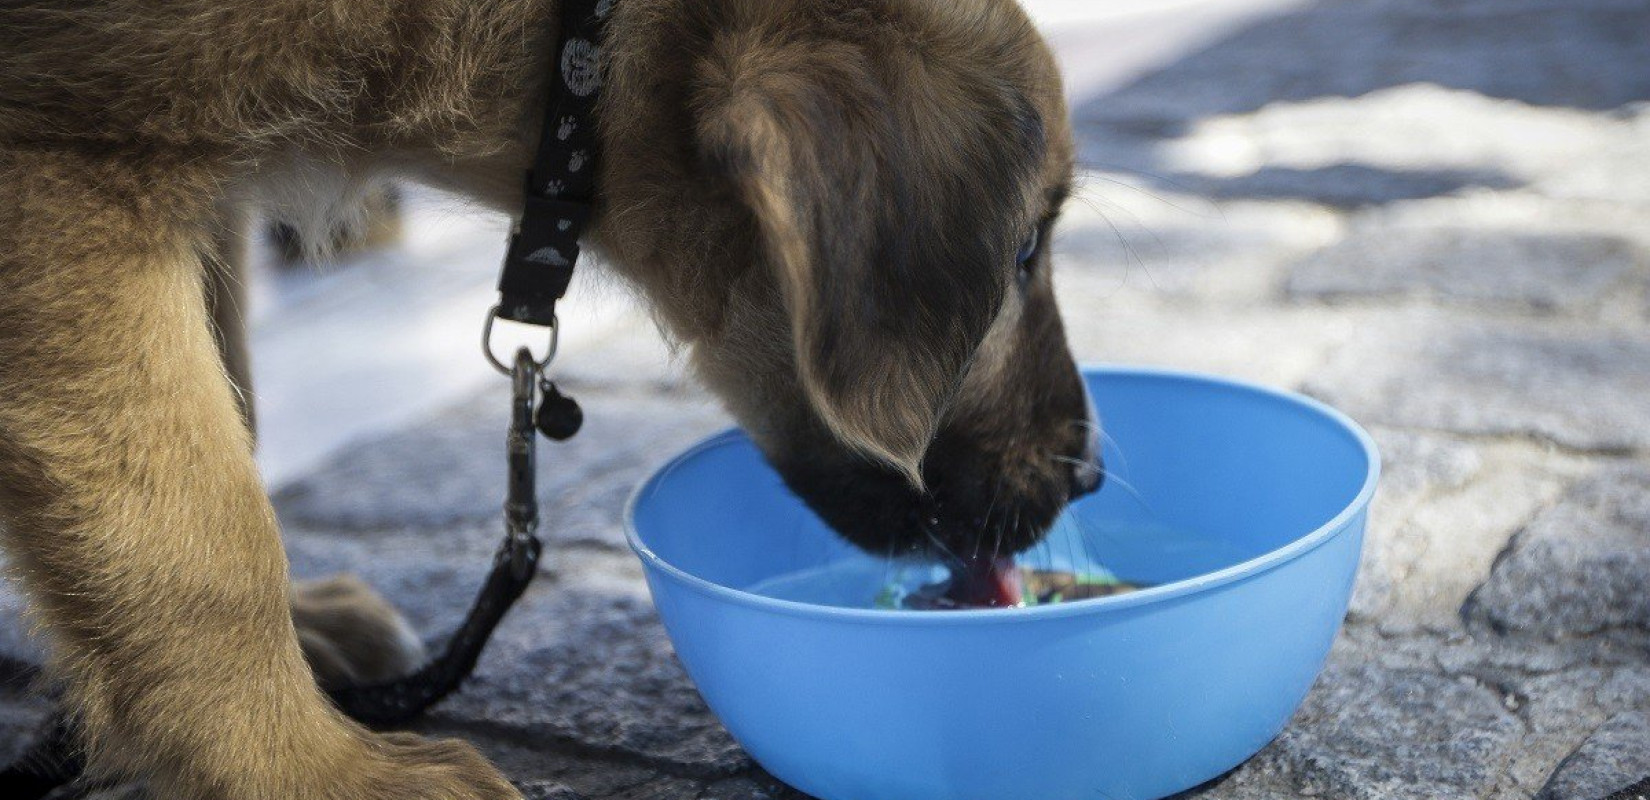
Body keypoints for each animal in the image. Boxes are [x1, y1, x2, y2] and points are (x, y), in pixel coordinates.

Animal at [3, 0, 1095, 795]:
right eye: (1023, 252)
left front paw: (297, 639)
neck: (578, 34)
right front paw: (310, 768)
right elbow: (202, 534)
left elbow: (227, 419)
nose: (1086, 473)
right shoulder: (73, 173)